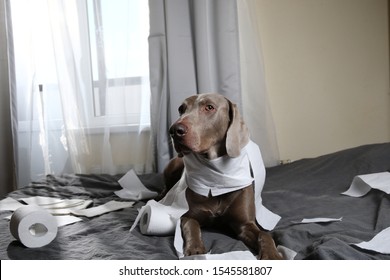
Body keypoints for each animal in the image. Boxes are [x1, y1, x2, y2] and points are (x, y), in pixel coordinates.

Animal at [161, 93, 280, 260]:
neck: (217, 180)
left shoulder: (244, 224)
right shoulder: (189, 215)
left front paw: (272, 255)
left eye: (209, 107)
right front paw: (195, 249)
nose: (174, 130)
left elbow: (265, 234)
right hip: (173, 165)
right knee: (164, 188)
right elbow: (192, 225)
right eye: (181, 109)